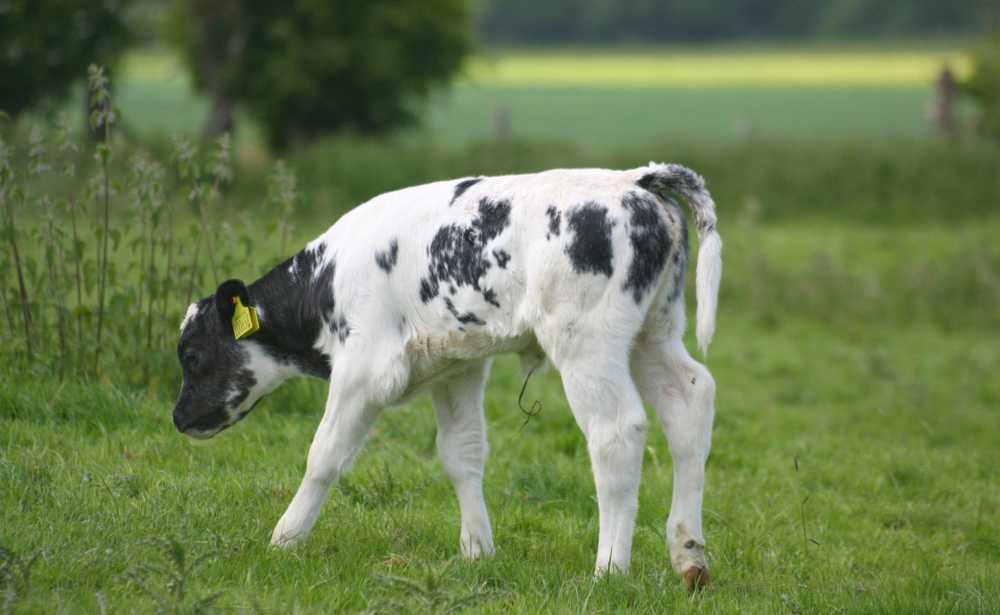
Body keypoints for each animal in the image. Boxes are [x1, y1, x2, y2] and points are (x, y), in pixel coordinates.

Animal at [172, 162, 720, 588]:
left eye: (192, 355)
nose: (179, 417)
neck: (329, 278)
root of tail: (634, 179)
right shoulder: (458, 366)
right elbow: (462, 454)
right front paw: (477, 550)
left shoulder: (362, 369)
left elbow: (323, 456)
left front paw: (285, 538)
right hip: (653, 333)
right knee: (690, 401)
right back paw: (688, 556)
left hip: (588, 343)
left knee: (617, 432)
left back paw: (609, 569)